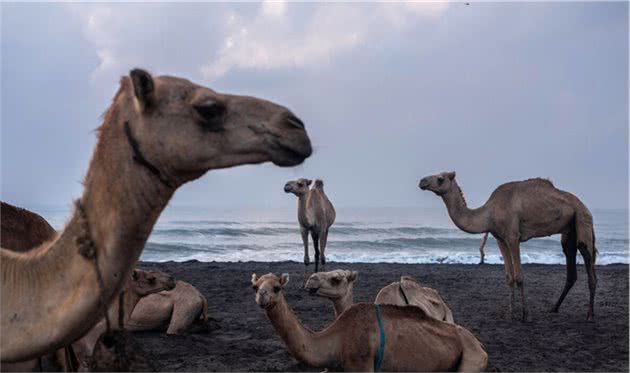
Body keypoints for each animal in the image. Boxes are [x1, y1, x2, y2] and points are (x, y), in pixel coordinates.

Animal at [422, 171, 600, 320]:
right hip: (569, 230)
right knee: (570, 264)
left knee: (589, 263)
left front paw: (525, 315)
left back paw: (590, 315)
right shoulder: (500, 238)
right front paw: (510, 313)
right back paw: (554, 308)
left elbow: (519, 277)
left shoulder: (513, 237)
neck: (488, 214)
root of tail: (585, 207)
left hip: (582, 220)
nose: (422, 181)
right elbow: (509, 277)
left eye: (440, 178)